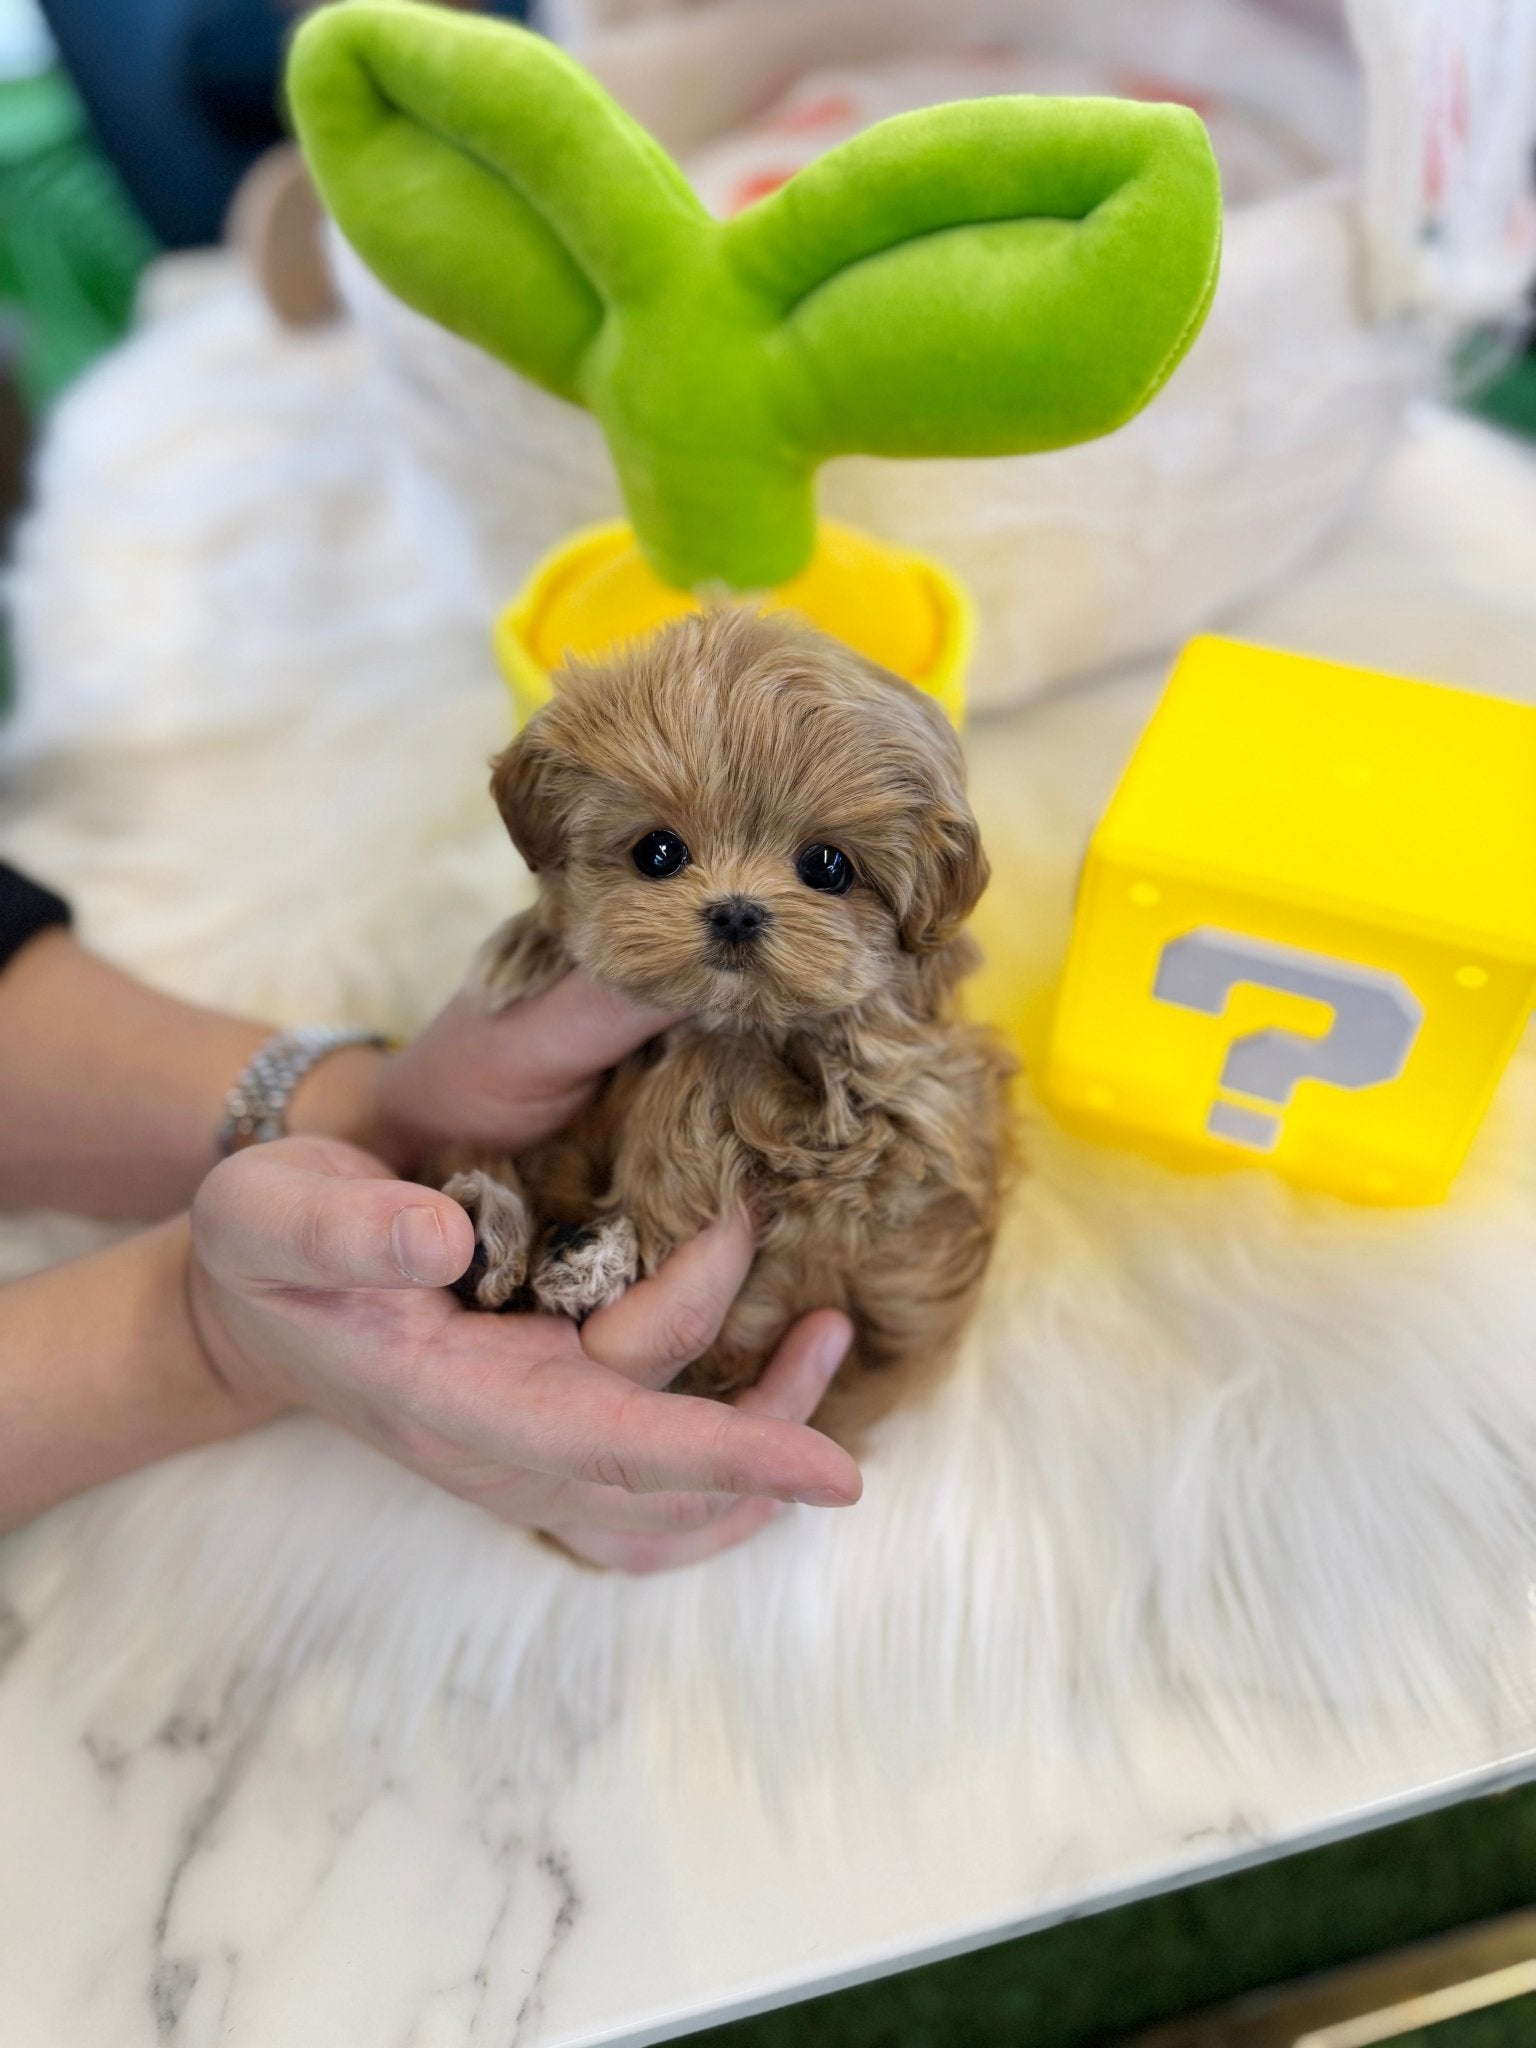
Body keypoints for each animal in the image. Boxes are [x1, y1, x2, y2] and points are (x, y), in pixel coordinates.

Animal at [444, 606, 1015, 1441]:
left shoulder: (903, 1118)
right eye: (658, 852)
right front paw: (528, 947)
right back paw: (502, 1238)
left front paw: (662, 1186)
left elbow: (718, 1063)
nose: (738, 912)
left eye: (828, 867)